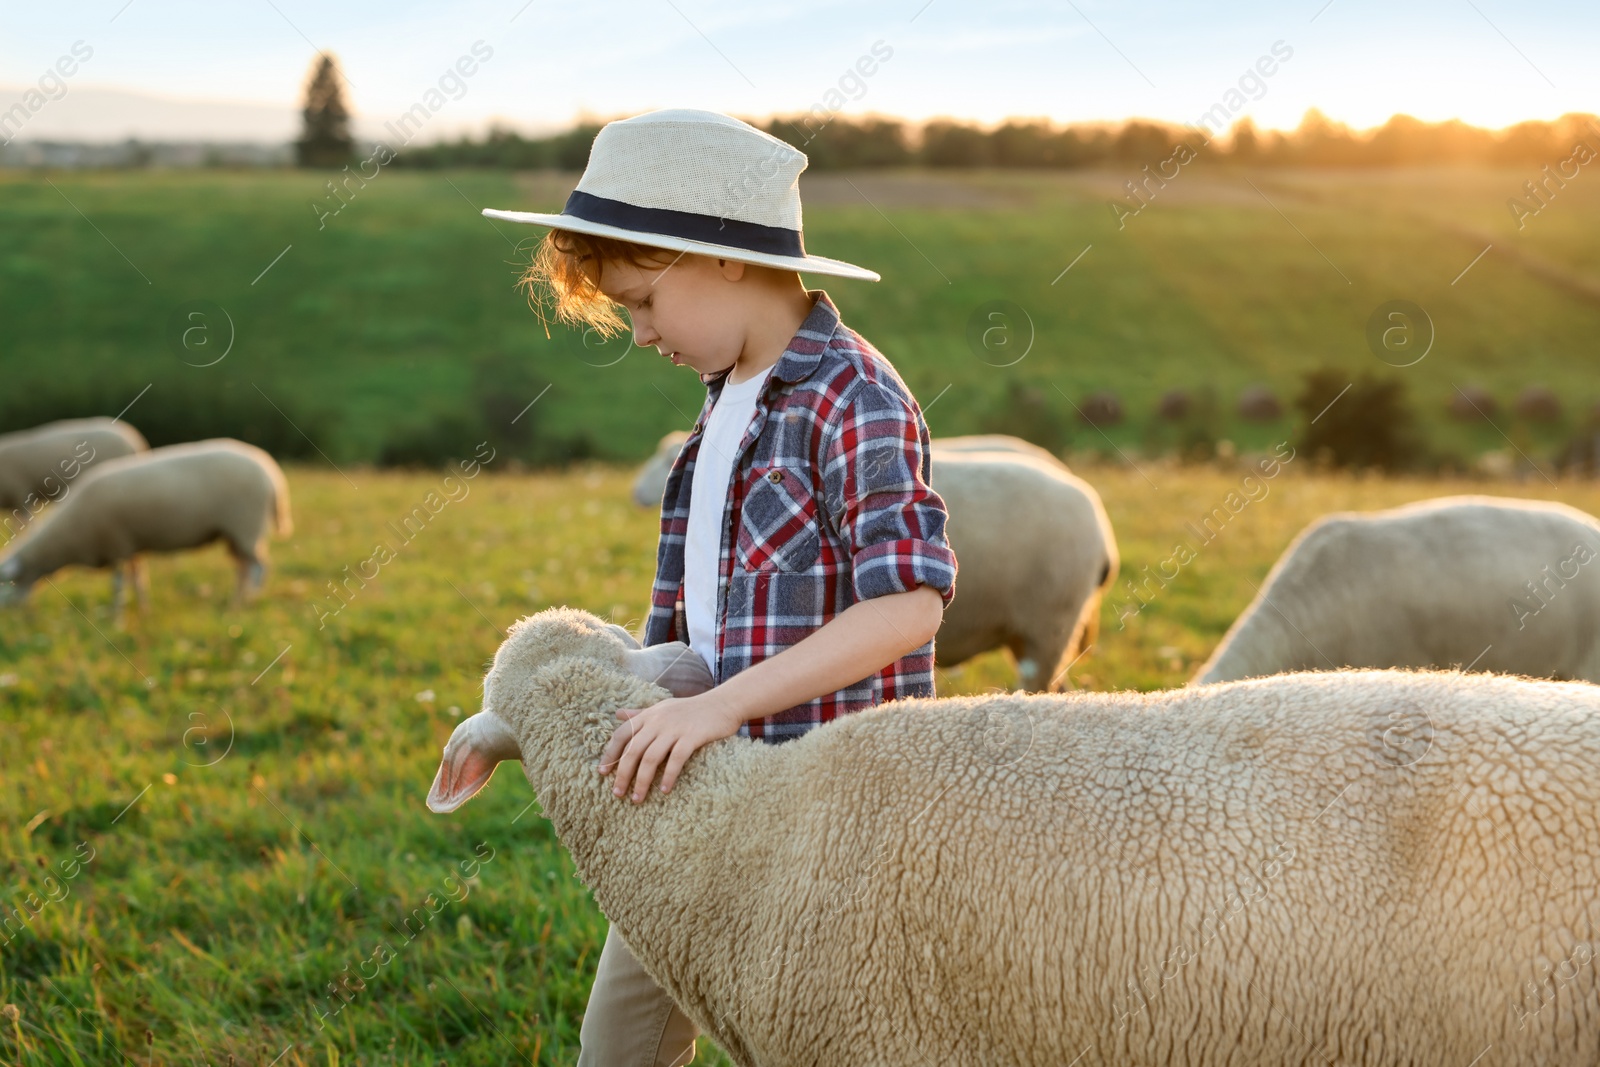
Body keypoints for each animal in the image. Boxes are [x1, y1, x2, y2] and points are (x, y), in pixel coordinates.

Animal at [0, 438, 294, 614]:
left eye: (8, 583)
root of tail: (272, 474)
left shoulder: (116, 545)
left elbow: (118, 585)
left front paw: (116, 618)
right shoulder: (131, 546)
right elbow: (138, 578)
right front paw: (143, 609)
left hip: (246, 525)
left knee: (258, 567)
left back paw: (248, 602)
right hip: (234, 533)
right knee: (243, 567)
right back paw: (235, 602)